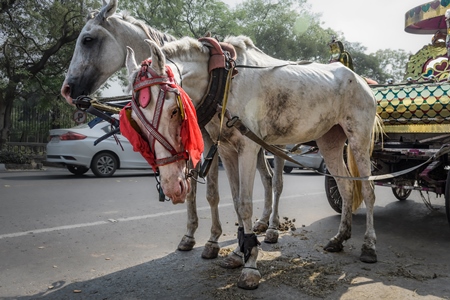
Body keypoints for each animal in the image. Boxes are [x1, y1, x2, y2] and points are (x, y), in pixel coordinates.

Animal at [59, 0, 282, 258]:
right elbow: (192, 188)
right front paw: (190, 235)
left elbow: (211, 192)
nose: (67, 90)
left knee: (277, 181)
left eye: (88, 40)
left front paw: (213, 240)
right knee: (267, 177)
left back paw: (273, 228)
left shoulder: (209, 143)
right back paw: (262, 222)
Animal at [125, 36, 380, 290]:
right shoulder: (226, 150)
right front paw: (239, 252)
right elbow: (236, 201)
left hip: (359, 136)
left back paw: (368, 246)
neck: (224, 79)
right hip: (329, 140)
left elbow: (246, 204)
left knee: (368, 189)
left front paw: (250, 266)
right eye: (135, 120)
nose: (170, 186)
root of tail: (360, 79)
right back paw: (339, 238)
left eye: (173, 110)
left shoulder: (247, 147)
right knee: (346, 186)